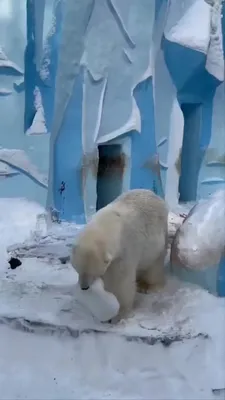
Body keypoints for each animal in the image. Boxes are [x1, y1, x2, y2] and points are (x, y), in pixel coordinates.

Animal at [71, 189, 168, 324]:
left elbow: (122, 281)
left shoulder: (126, 249)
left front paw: (120, 314)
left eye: (92, 272)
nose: (84, 287)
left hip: (159, 239)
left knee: (155, 266)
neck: (109, 223)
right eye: (78, 269)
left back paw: (149, 286)